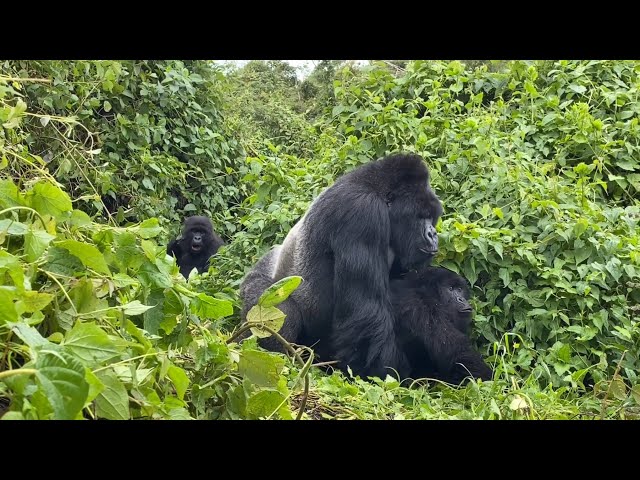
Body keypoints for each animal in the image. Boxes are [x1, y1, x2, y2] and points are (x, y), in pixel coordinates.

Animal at [238, 154, 442, 378]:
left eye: (432, 217)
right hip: (257, 290)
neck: (377, 190)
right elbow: (367, 316)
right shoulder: (362, 213)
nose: (433, 234)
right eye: (420, 216)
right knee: (280, 312)